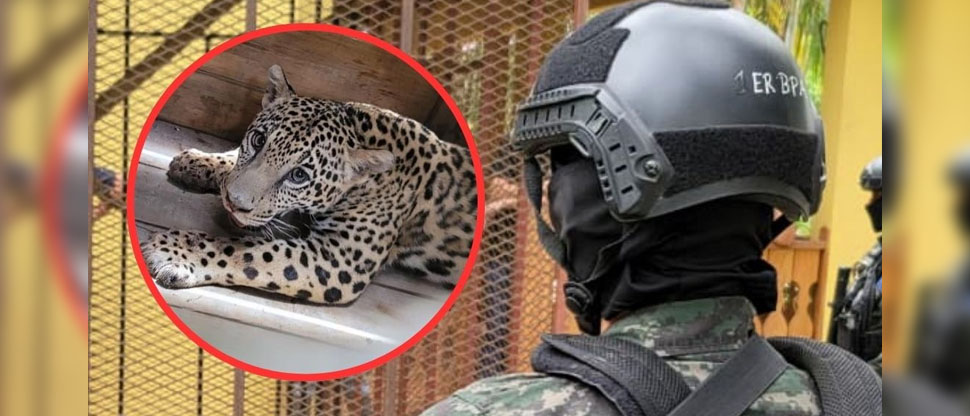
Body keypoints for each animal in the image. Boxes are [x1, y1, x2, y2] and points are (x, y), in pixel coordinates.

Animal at [140, 64, 478, 305]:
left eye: (299, 176)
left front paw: (173, 251)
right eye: (258, 140)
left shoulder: (339, 259)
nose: (234, 203)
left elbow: (246, 251)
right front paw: (197, 162)